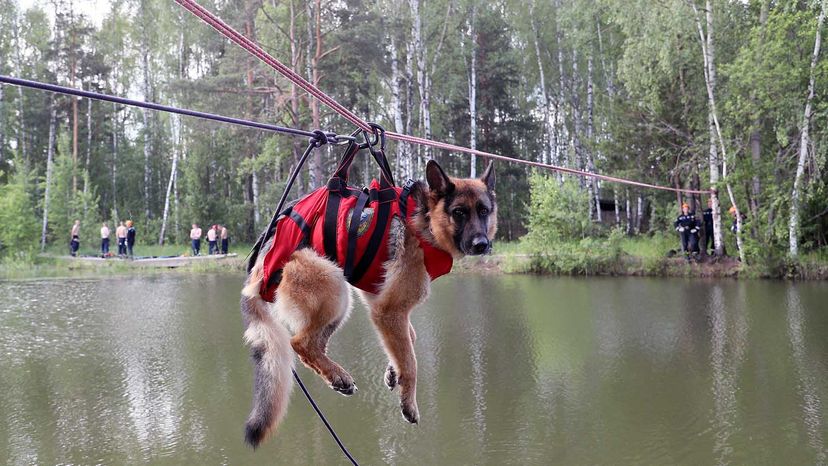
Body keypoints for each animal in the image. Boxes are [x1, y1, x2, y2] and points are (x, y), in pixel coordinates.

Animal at [241, 160, 498, 448]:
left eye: (484, 211)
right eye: (459, 212)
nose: (482, 244)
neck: (424, 219)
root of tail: (260, 260)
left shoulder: (378, 300)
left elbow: (408, 339)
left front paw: (393, 369)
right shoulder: (389, 310)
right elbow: (411, 363)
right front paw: (408, 402)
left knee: (312, 344)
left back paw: (336, 377)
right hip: (334, 287)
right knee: (300, 342)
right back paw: (338, 374)